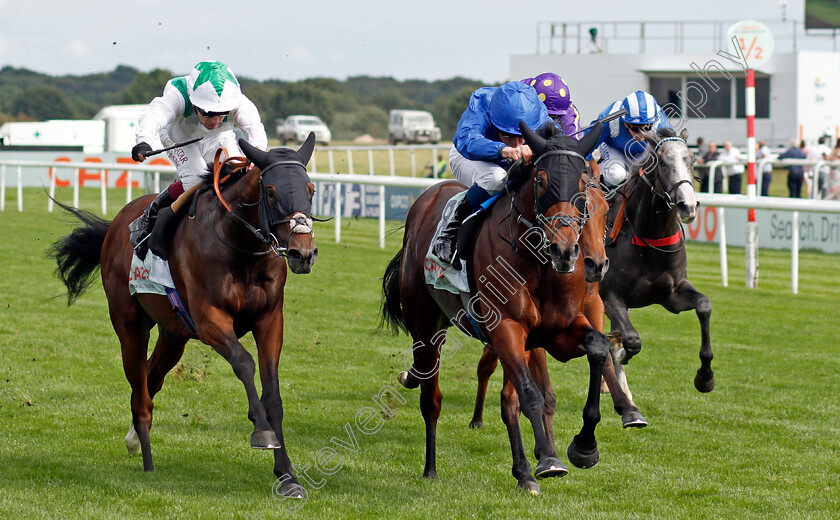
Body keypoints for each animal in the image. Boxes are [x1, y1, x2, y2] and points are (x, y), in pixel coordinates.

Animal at [48, 135, 318, 500]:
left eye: (311, 189)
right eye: (272, 192)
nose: (303, 253)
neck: (240, 246)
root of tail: (117, 224)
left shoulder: (270, 319)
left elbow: (272, 394)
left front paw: (287, 475)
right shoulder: (209, 319)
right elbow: (244, 363)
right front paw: (261, 431)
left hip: (173, 334)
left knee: (150, 379)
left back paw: (134, 438)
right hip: (129, 325)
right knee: (140, 389)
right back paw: (146, 459)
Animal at [382, 120, 616, 494]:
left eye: (583, 184)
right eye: (541, 181)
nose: (565, 251)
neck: (537, 263)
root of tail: (426, 199)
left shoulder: (558, 332)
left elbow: (597, 346)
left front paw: (583, 447)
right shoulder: (505, 327)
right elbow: (530, 395)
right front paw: (547, 462)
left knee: (504, 400)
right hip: (425, 325)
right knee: (431, 396)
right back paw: (431, 467)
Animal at [596, 126, 716, 402]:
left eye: (691, 159)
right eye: (662, 162)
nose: (688, 205)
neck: (649, 237)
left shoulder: (671, 295)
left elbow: (704, 305)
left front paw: (705, 377)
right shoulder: (610, 296)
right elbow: (630, 340)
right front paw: (620, 351)